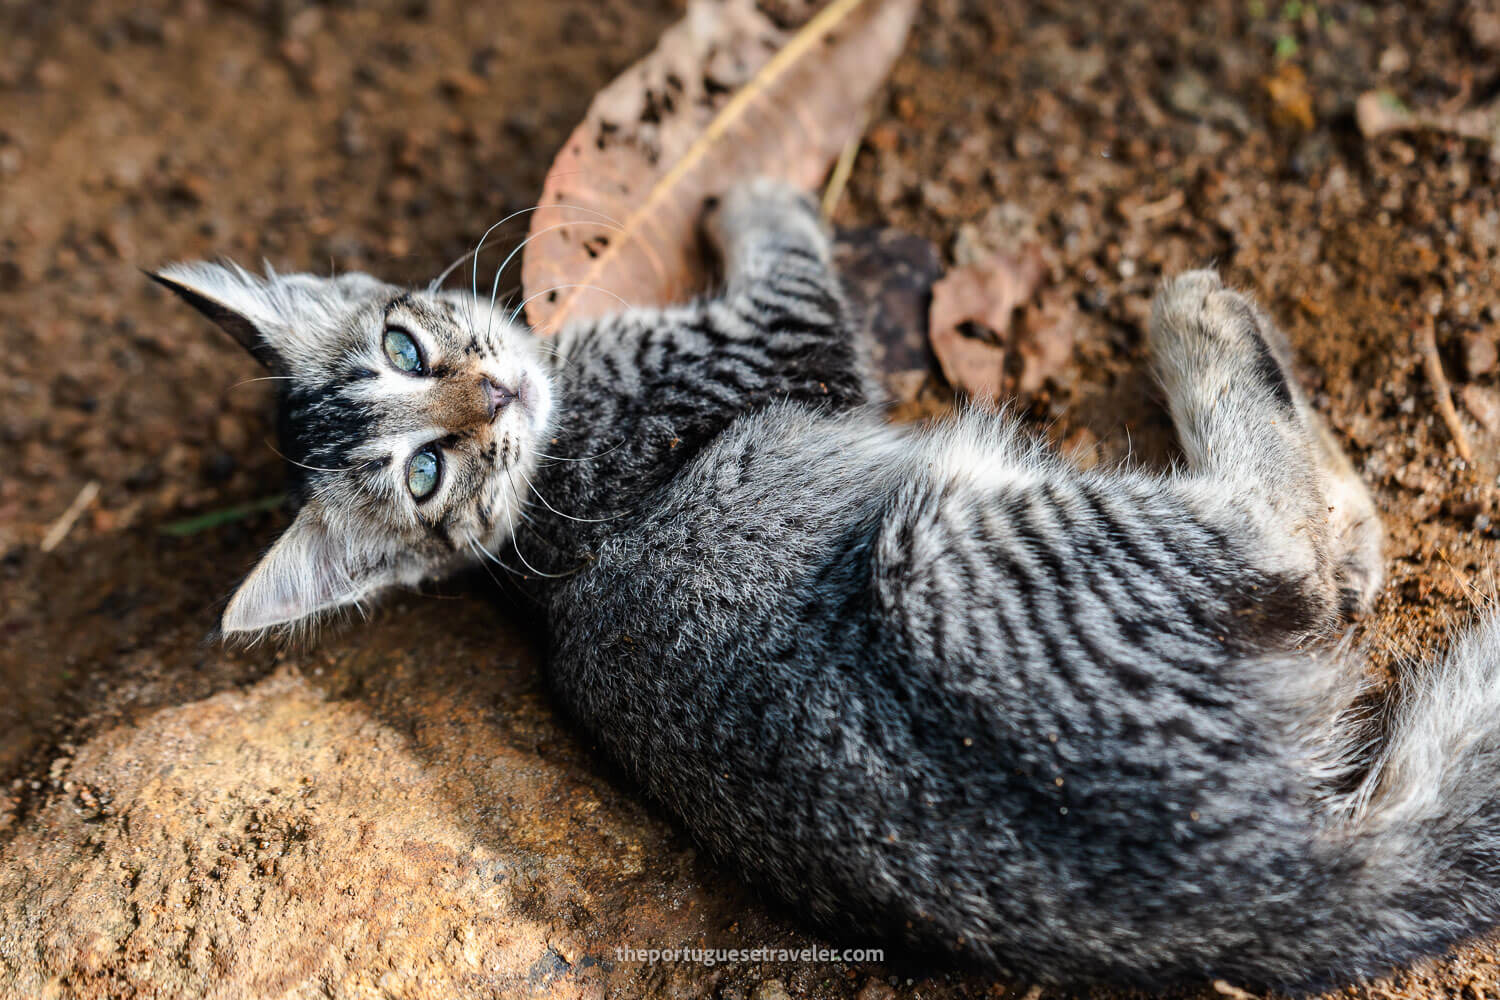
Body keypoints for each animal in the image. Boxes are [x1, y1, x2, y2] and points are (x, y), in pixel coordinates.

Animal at [155, 179, 1500, 995]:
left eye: (405, 347)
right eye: (424, 472)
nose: (490, 396)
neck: (537, 500)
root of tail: (1264, 878)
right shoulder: (770, 335)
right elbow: (790, 256)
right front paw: (757, 190)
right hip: (949, 544)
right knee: (1310, 552)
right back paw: (1204, 321)